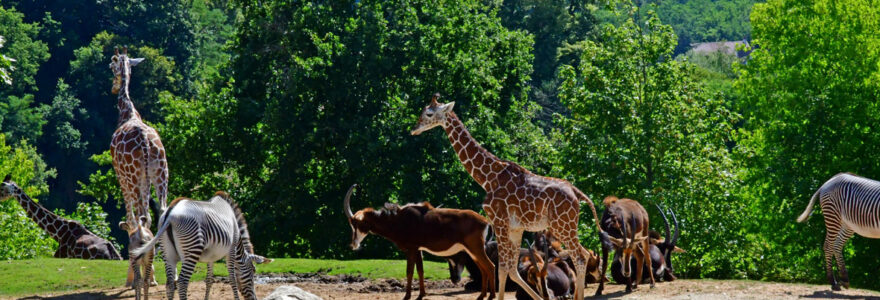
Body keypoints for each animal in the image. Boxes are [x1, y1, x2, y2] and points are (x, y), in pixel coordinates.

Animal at [132, 192, 260, 300]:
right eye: (252, 272)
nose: (254, 299)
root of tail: (170, 214)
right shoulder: (232, 250)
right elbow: (232, 278)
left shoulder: (211, 256)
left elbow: (209, 280)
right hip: (192, 249)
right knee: (182, 283)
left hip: (168, 253)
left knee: (170, 284)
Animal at [412, 92, 604, 298]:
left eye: (429, 113)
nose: (414, 129)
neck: (487, 178)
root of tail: (577, 192)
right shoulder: (515, 228)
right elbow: (511, 269)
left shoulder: (499, 221)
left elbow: (502, 268)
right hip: (566, 226)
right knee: (583, 254)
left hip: (562, 225)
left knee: (580, 256)